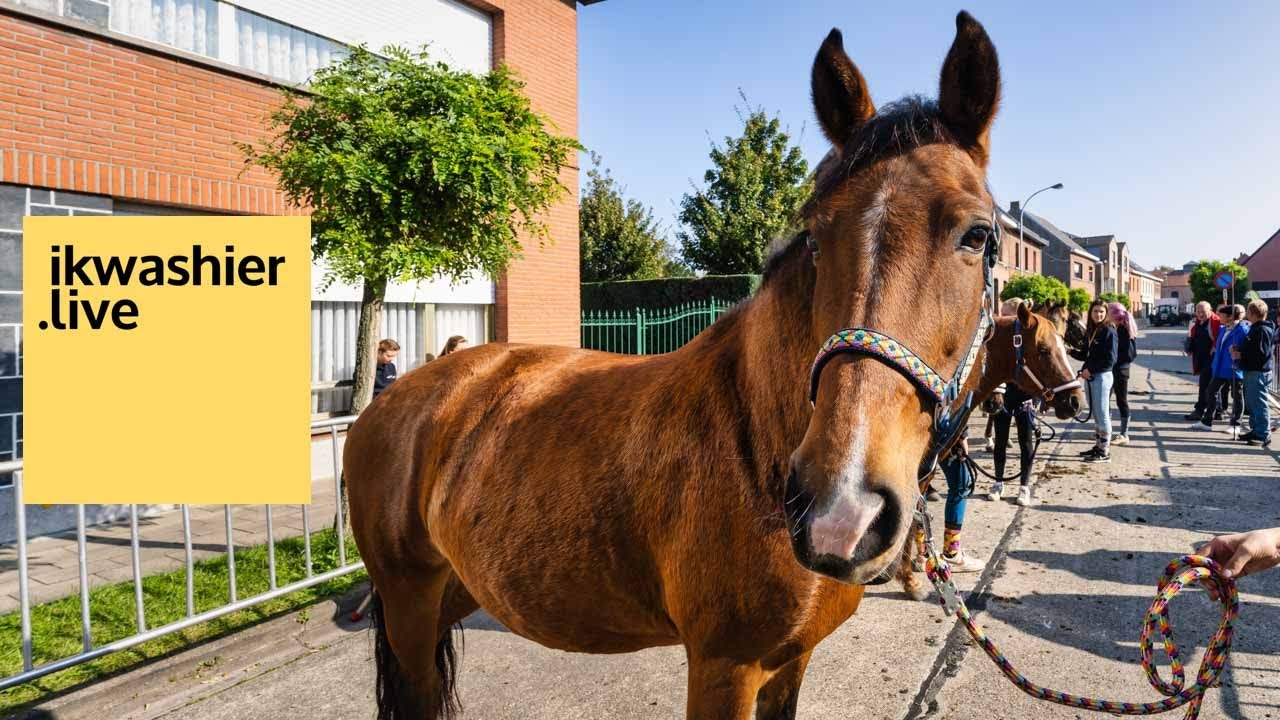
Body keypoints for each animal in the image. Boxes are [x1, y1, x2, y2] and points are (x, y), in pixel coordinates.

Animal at [348, 13, 1026, 720]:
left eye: (978, 236)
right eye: (816, 237)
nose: (842, 510)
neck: (754, 440)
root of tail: (393, 400)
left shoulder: (792, 661)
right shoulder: (724, 667)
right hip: (408, 606)